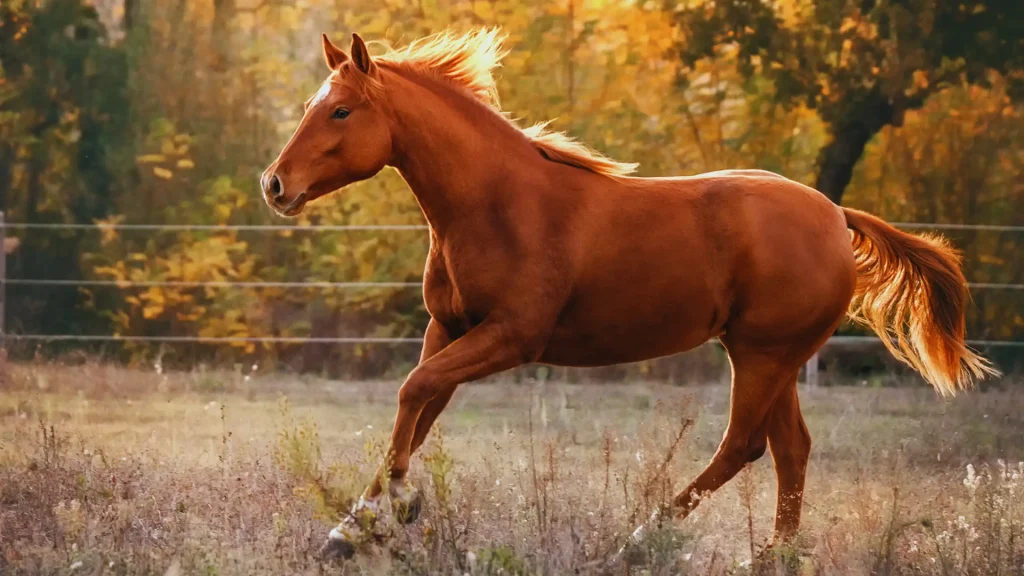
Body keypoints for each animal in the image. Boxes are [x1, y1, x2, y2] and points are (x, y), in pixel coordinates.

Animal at [260, 28, 997, 559]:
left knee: (743, 446)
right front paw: (348, 533)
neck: (497, 205)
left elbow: (414, 394)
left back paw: (637, 542)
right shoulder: (449, 329)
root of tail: (837, 216)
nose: (275, 184)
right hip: (773, 357)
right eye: (313, 107)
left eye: (341, 110)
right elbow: (415, 410)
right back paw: (771, 558)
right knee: (790, 450)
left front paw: (398, 509)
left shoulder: (512, 337)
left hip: (763, 355)